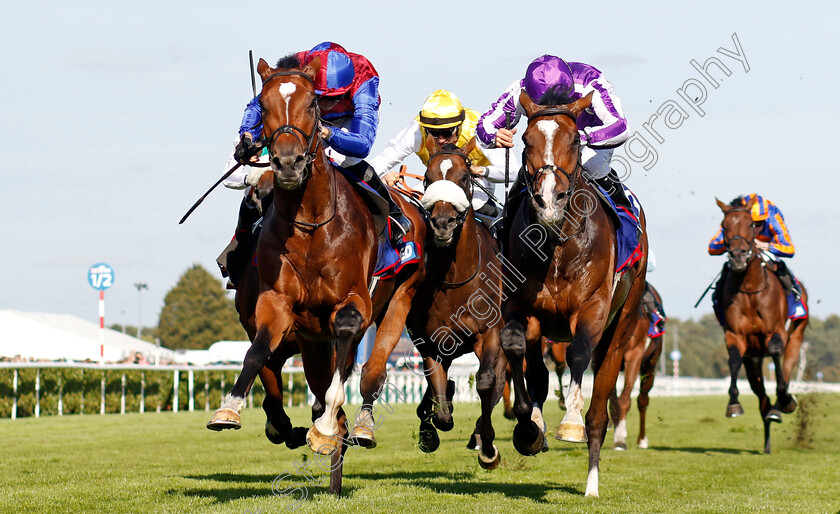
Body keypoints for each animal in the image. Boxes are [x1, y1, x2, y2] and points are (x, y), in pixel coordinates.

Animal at [204, 56, 426, 492]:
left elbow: (345, 347)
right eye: (264, 104)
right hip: (310, 339)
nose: (288, 163)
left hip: (400, 298)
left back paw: (354, 428)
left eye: (312, 104)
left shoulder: (354, 303)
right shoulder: (277, 304)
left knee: (370, 370)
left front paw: (324, 430)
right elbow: (258, 352)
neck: (311, 225)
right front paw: (230, 409)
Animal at [404, 135, 508, 468]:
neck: (455, 278)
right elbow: (438, 398)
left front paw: (488, 448)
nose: (443, 223)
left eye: (464, 177)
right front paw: (431, 431)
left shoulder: (489, 334)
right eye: (428, 177)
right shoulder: (430, 341)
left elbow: (487, 382)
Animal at [498, 89, 648, 496]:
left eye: (575, 141)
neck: (556, 245)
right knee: (537, 370)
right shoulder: (523, 309)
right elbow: (517, 350)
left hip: (622, 326)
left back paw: (592, 482)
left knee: (602, 409)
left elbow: (579, 354)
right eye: (525, 140)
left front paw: (570, 423)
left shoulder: (592, 308)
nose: (549, 200)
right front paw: (529, 427)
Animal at [608, 280, 668, 448]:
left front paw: (620, 438)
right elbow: (612, 400)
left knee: (642, 400)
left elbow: (625, 399)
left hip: (650, 365)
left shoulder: (634, 355)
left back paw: (642, 439)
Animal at [712, 197, 812, 452]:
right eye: (724, 226)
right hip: (754, 361)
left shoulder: (775, 331)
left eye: (751, 224)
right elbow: (734, 359)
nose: (738, 256)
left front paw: (784, 401)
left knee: (785, 369)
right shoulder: (735, 335)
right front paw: (734, 404)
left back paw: (781, 405)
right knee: (763, 398)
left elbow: (778, 358)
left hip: (797, 333)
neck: (750, 289)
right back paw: (767, 438)